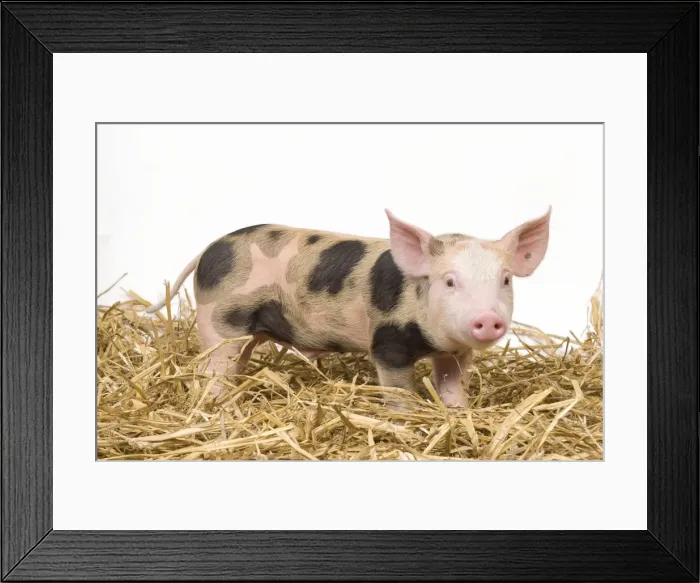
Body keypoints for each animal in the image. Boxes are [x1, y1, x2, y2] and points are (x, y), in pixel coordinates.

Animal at [146, 207, 551, 407]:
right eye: (450, 281)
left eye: (506, 280)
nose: (488, 319)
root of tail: (208, 250)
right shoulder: (387, 343)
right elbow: (398, 391)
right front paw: (404, 422)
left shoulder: (455, 353)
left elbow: (452, 386)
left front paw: (458, 413)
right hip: (218, 322)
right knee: (212, 370)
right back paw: (220, 409)